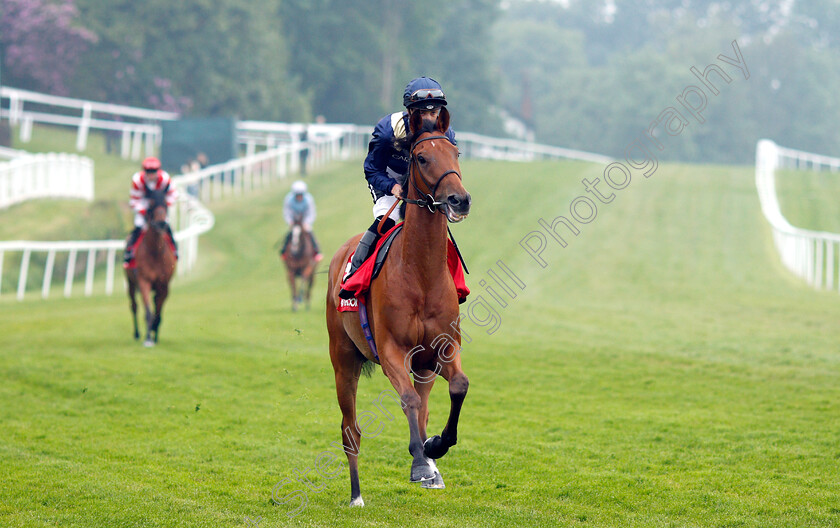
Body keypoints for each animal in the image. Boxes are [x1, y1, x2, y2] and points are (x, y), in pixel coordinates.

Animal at [124, 186, 176, 346]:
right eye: (151, 202)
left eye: (165, 201)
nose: (161, 224)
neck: (155, 252)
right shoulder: (143, 281)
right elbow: (148, 312)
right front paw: (148, 339)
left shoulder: (164, 285)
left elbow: (158, 313)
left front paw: (155, 333)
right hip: (130, 282)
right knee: (134, 306)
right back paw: (137, 334)